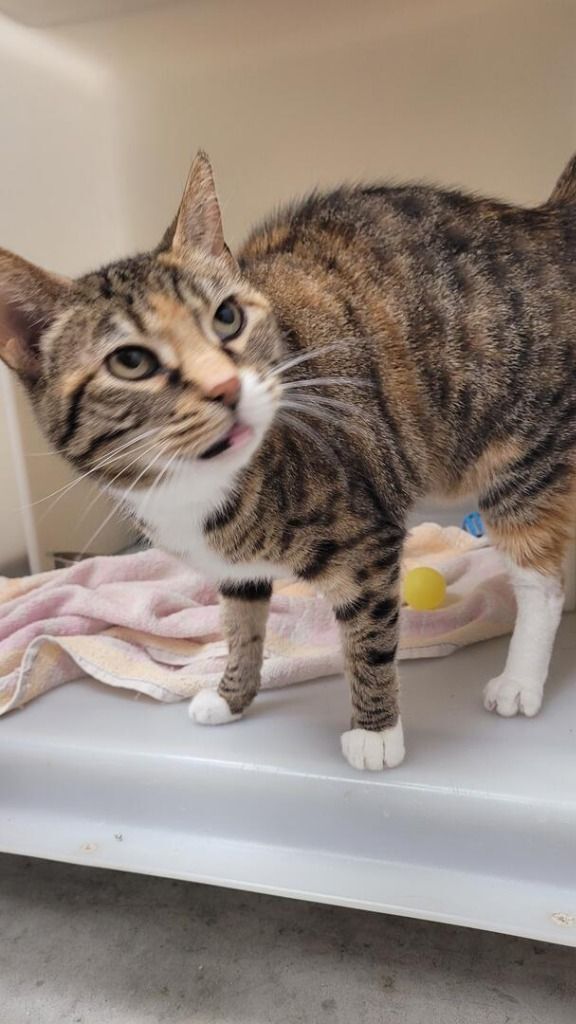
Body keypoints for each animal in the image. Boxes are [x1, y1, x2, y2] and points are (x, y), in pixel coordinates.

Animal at [1, 150, 575, 770]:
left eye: (227, 317)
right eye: (131, 361)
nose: (226, 386)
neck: (196, 487)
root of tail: (547, 220)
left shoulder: (366, 539)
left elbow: (368, 639)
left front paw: (376, 733)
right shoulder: (233, 571)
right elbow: (241, 625)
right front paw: (232, 695)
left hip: (524, 451)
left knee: (539, 580)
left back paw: (519, 680)